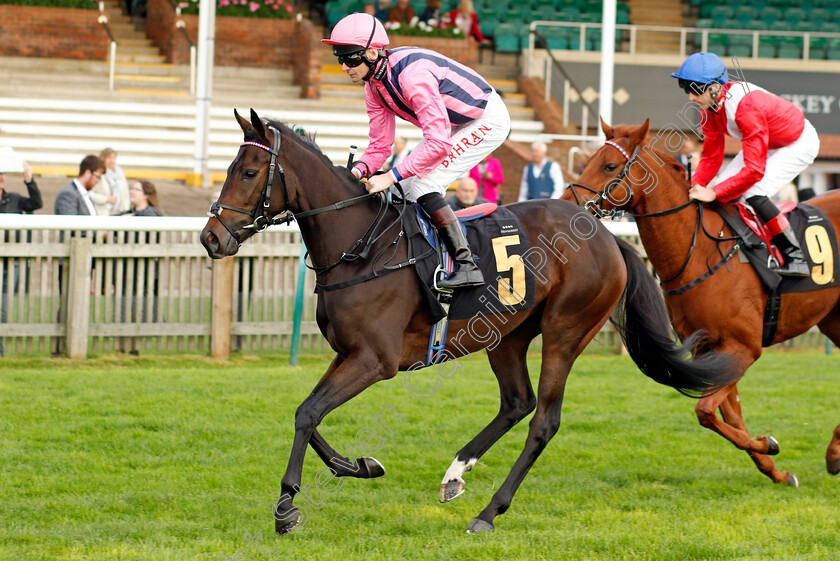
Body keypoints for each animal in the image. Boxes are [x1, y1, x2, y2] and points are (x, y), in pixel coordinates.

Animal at [200, 109, 740, 532]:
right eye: (231, 168)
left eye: (248, 172)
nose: (210, 237)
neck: (362, 246)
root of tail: (605, 235)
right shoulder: (348, 354)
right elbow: (306, 412)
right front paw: (362, 464)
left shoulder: (375, 360)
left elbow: (309, 412)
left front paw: (287, 506)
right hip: (507, 335)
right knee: (517, 402)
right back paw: (456, 473)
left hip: (566, 331)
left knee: (543, 420)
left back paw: (489, 512)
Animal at [568, 118, 840, 486]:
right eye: (587, 161)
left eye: (609, 166)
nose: (566, 202)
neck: (697, 253)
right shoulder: (710, 351)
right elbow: (728, 414)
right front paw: (774, 466)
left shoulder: (744, 348)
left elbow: (705, 410)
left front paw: (768, 447)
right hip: (834, 319)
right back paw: (834, 452)